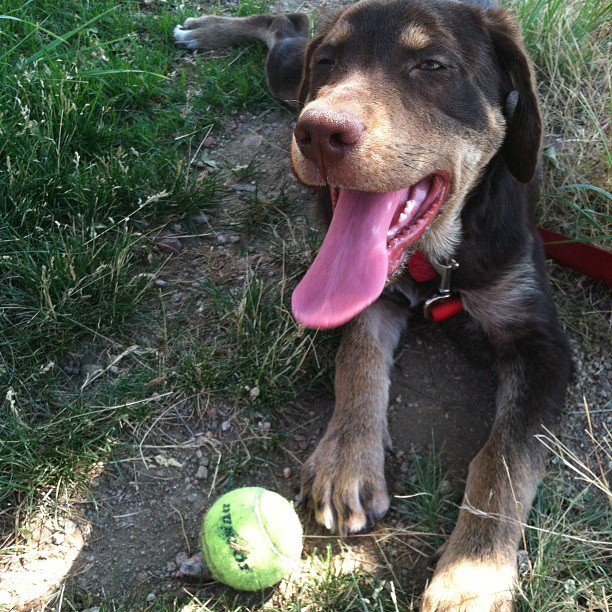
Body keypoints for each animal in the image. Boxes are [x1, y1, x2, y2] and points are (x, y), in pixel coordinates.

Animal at [175, 2, 572, 608]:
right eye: (330, 63)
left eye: (432, 65)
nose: (318, 132)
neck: (436, 263)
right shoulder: (370, 300)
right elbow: (356, 358)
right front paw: (346, 460)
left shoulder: (542, 345)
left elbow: (505, 458)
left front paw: (472, 574)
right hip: (289, 80)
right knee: (289, 23)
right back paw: (205, 29)